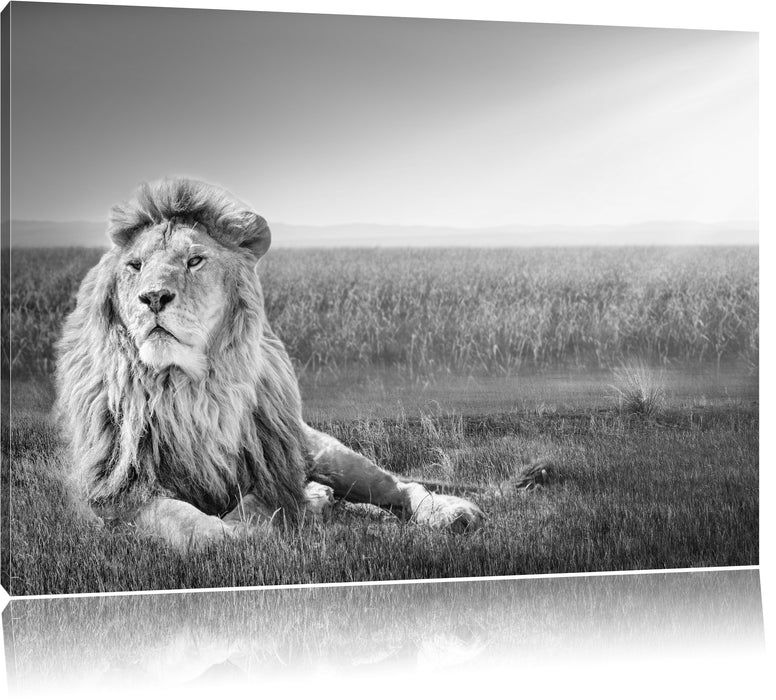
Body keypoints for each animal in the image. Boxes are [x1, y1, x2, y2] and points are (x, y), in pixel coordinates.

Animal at [55, 178, 485, 549]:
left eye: (195, 260)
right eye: (135, 266)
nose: (154, 297)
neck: (188, 388)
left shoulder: (270, 468)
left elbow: (261, 502)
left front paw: (281, 513)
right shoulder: (117, 493)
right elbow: (187, 521)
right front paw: (243, 529)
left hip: (325, 453)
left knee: (396, 486)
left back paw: (450, 513)